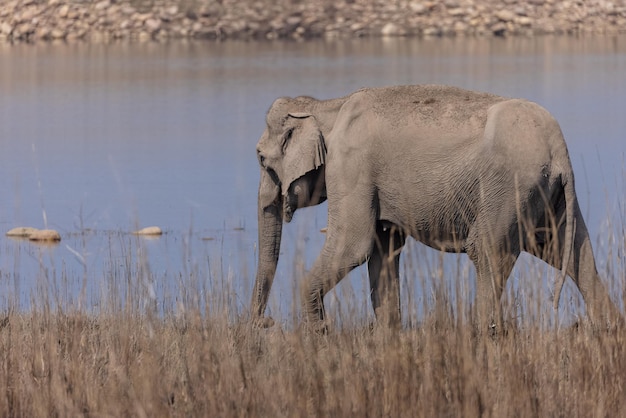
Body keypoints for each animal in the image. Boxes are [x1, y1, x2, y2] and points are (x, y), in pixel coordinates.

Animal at [250, 84, 620, 334]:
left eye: (261, 160)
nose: (265, 322)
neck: (327, 105)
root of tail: (558, 148)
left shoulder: (351, 165)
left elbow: (353, 245)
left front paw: (319, 336)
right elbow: (384, 249)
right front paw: (386, 333)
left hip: (508, 187)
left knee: (487, 251)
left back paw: (485, 334)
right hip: (547, 194)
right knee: (571, 251)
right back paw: (609, 327)